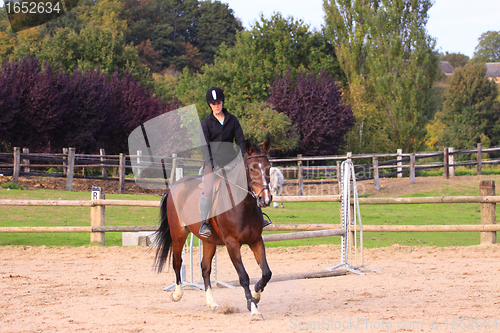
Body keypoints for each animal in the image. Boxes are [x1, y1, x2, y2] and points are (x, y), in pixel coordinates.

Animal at [155, 137, 276, 316]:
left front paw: (256, 296)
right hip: (178, 234)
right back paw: (177, 294)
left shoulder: (256, 240)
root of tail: (175, 186)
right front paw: (253, 308)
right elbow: (243, 277)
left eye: (268, 167)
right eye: (252, 168)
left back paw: (212, 303)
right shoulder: (232, 244)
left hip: (209, 241)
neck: (243, 206)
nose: (265, 199)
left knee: (205, 268)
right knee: (177, 262)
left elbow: (266, 272)